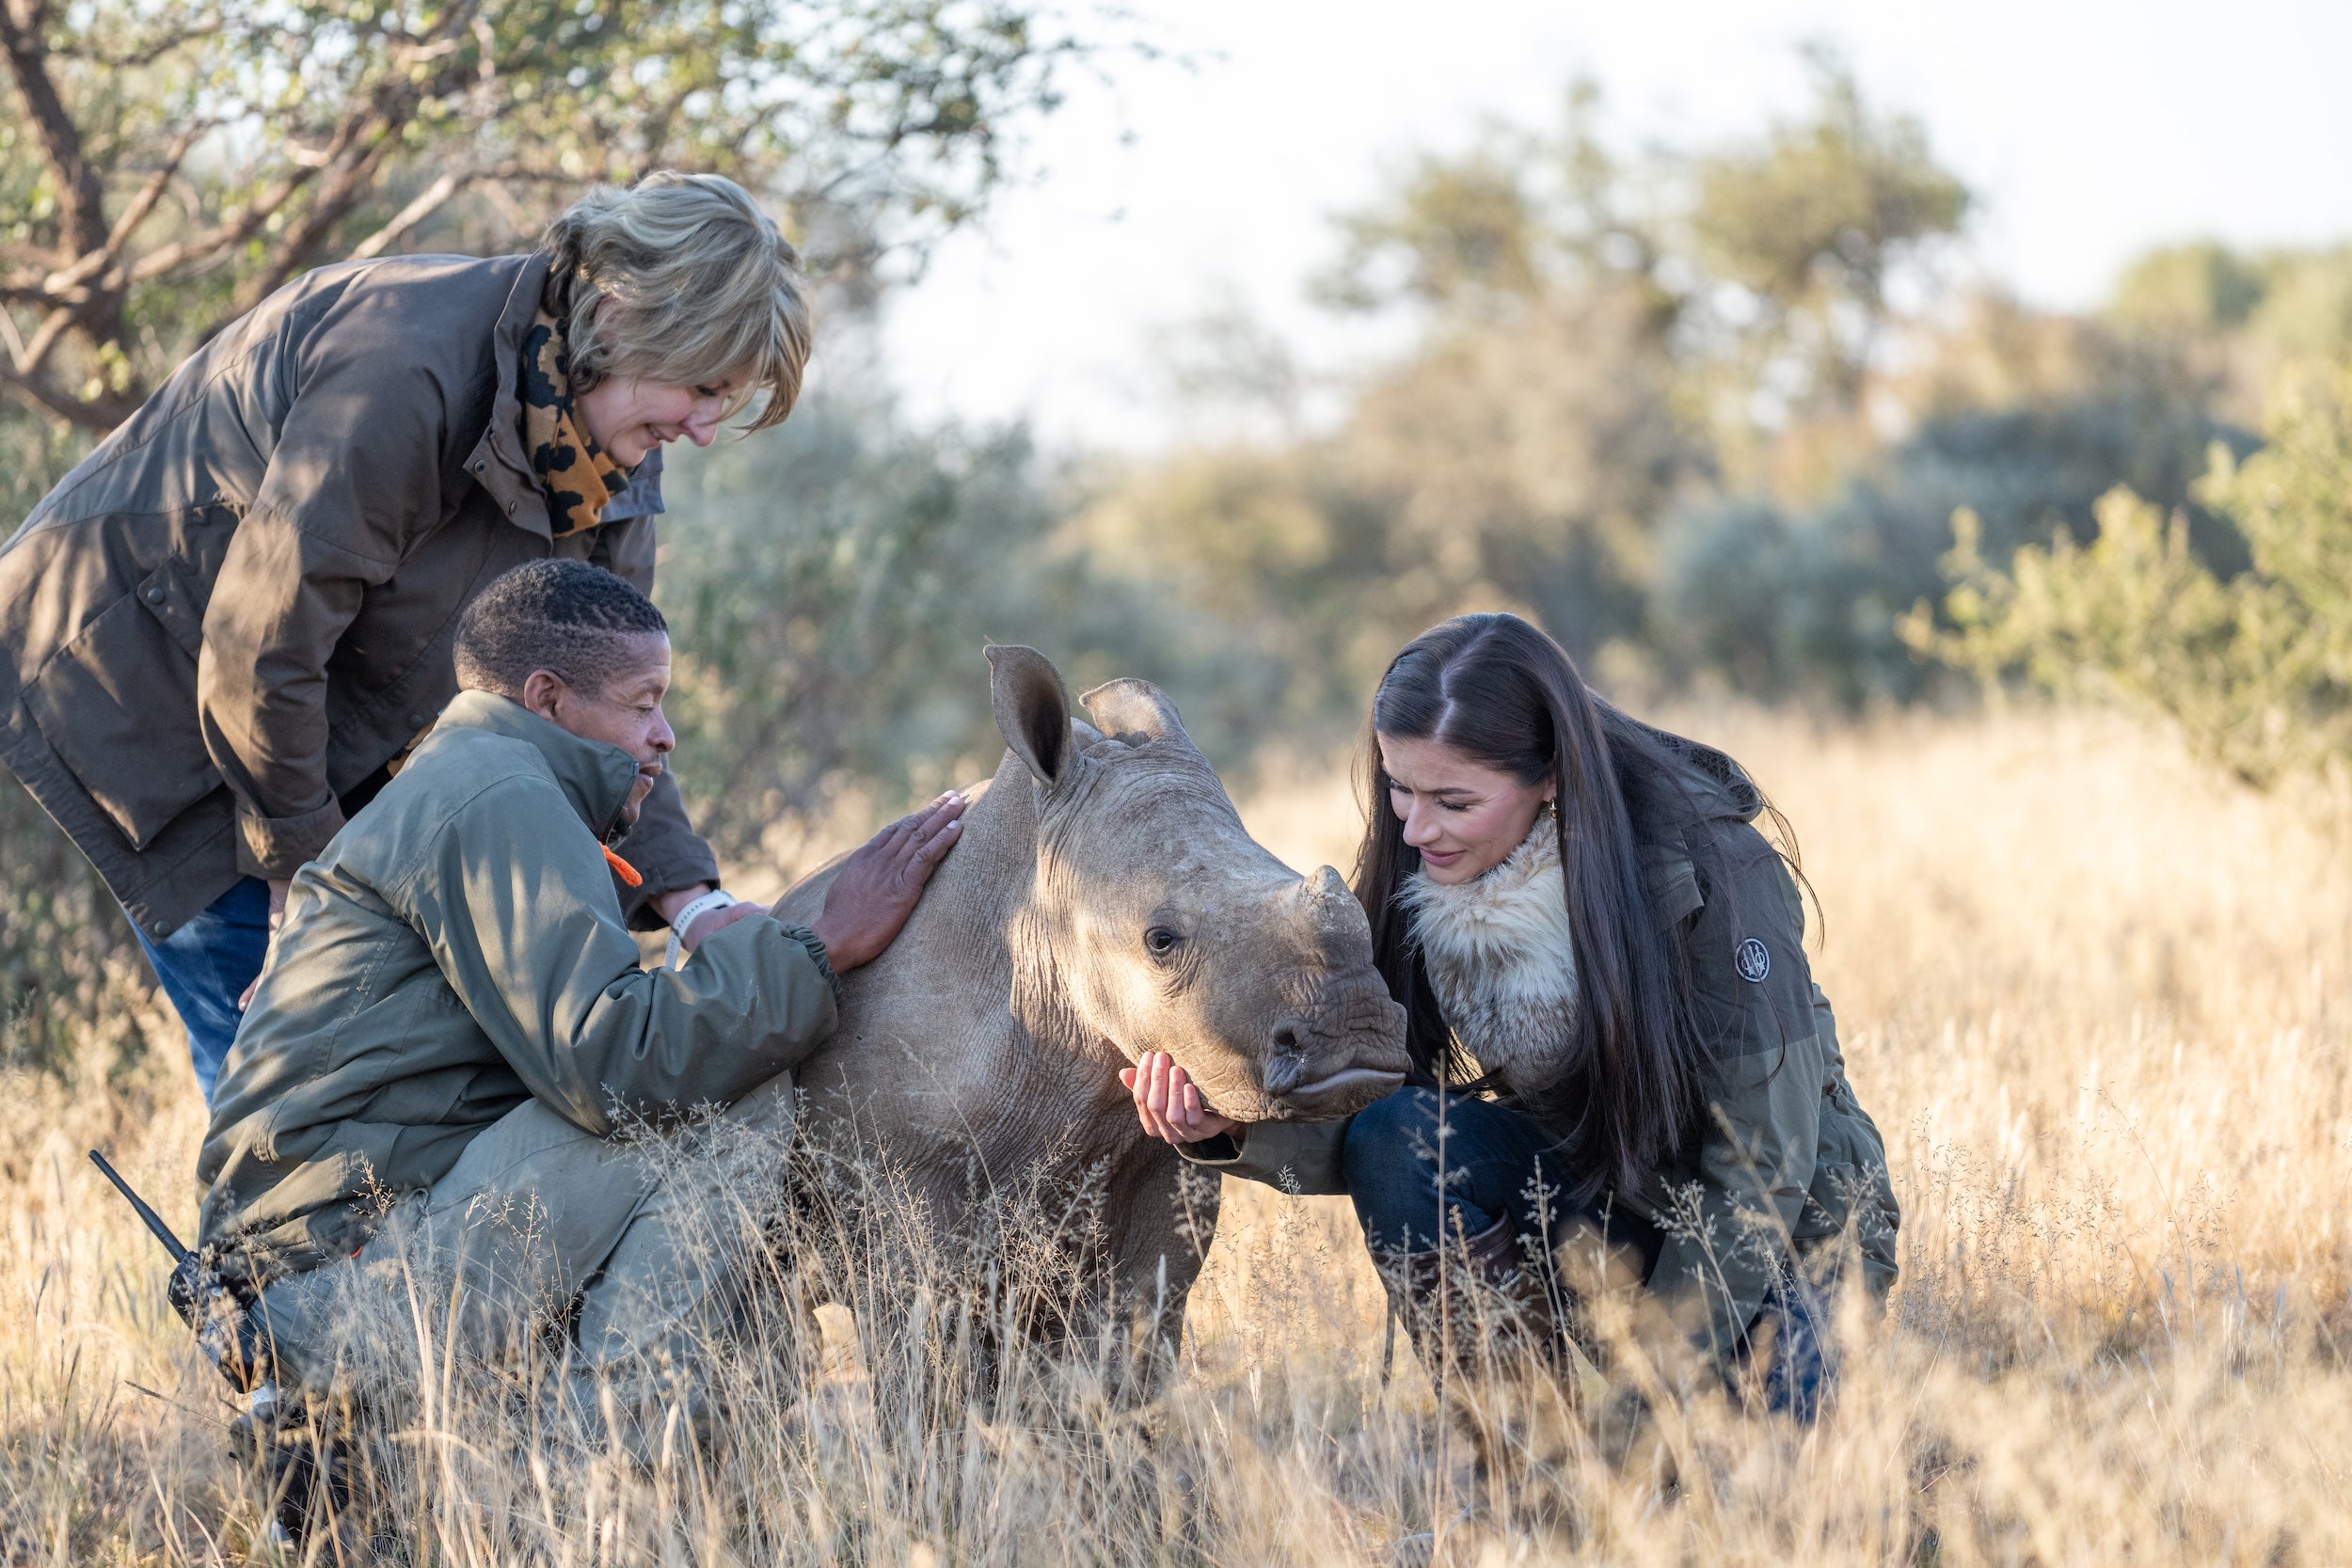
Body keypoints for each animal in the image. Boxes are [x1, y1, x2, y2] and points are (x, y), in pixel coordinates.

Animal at [770, 645, 1410, 1361]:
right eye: (1160, 941)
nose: (1357, 1033)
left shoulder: (1159, 1188)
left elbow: (1130, 1344)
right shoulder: (899, 1183)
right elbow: (927, 1351)